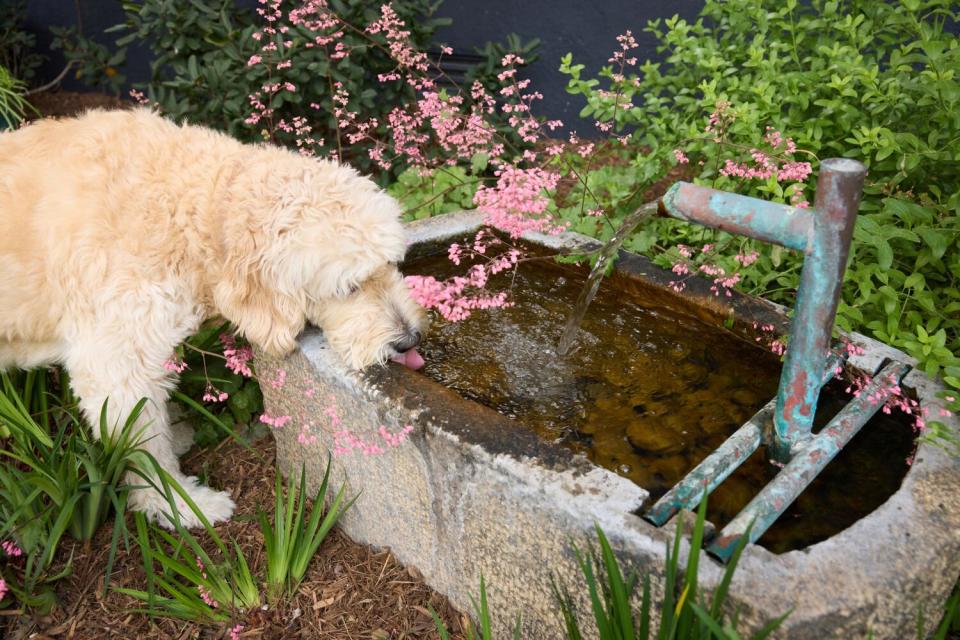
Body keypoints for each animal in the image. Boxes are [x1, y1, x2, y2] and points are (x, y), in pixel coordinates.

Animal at [0, 110, 428, 528]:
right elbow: (145, 448)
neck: (192, 205)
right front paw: (181, 505)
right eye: (349, 287)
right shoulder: (113, 363)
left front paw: (174, 429)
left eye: (392, 264)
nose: (409, 340)